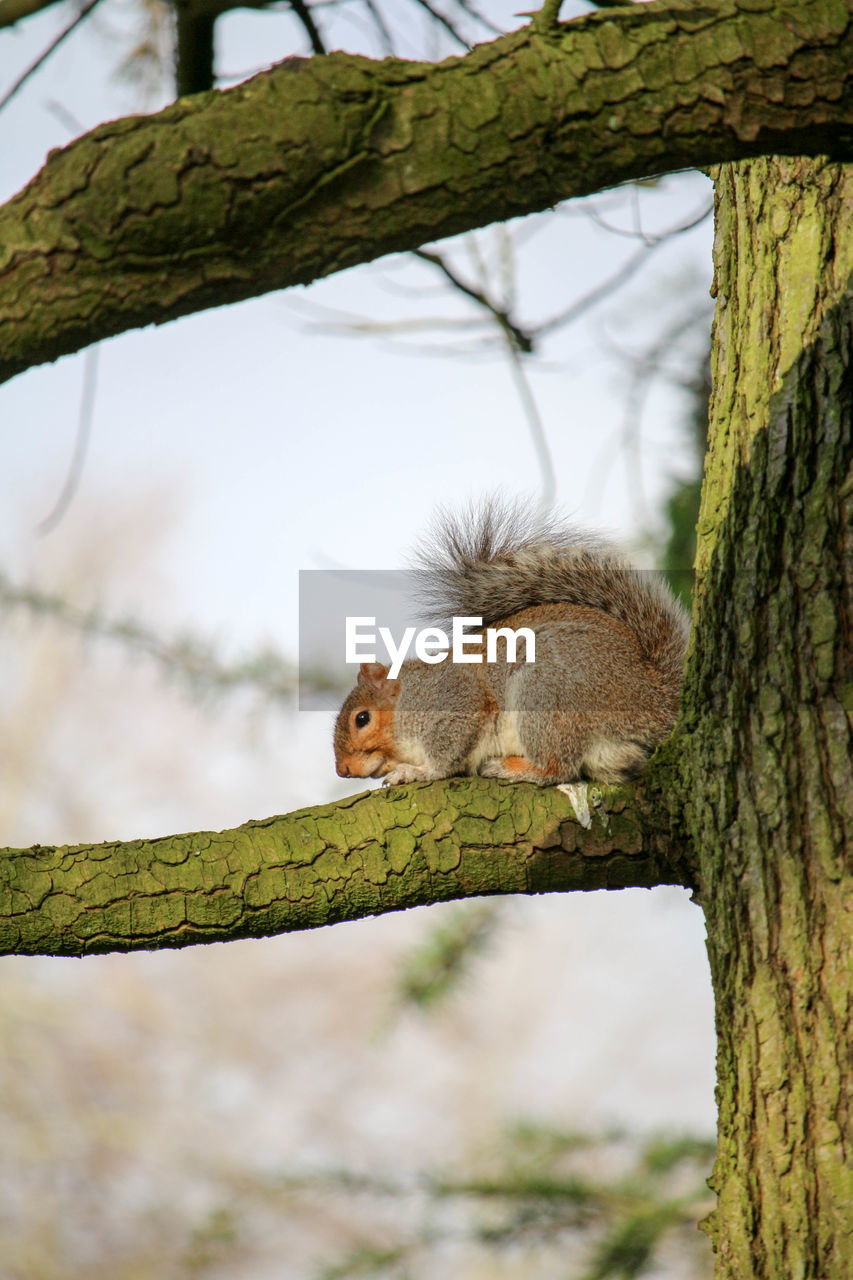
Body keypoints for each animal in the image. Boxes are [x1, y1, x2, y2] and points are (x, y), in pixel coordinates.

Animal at [327, 501, 686, 788]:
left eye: (362, 719)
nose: (343, 770)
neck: (406, 698)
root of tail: (654, 698)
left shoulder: (452, 701)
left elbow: (446, 756)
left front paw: (414, 772)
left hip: (546, 693)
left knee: (558, 767)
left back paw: (511, 768)